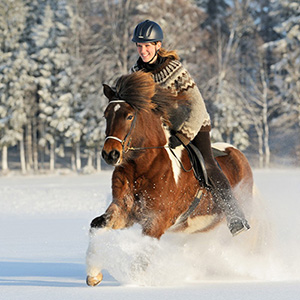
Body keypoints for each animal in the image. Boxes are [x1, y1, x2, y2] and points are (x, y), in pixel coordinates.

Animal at [86, 70, 253, 286]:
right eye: (106, 115)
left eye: (129, 116)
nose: (110, 154)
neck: (141, 168)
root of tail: (237, 153)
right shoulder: (123, 210)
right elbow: (97, 225)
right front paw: (93, 275)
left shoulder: (157, 220)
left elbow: (142, 256)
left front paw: (132, 284)